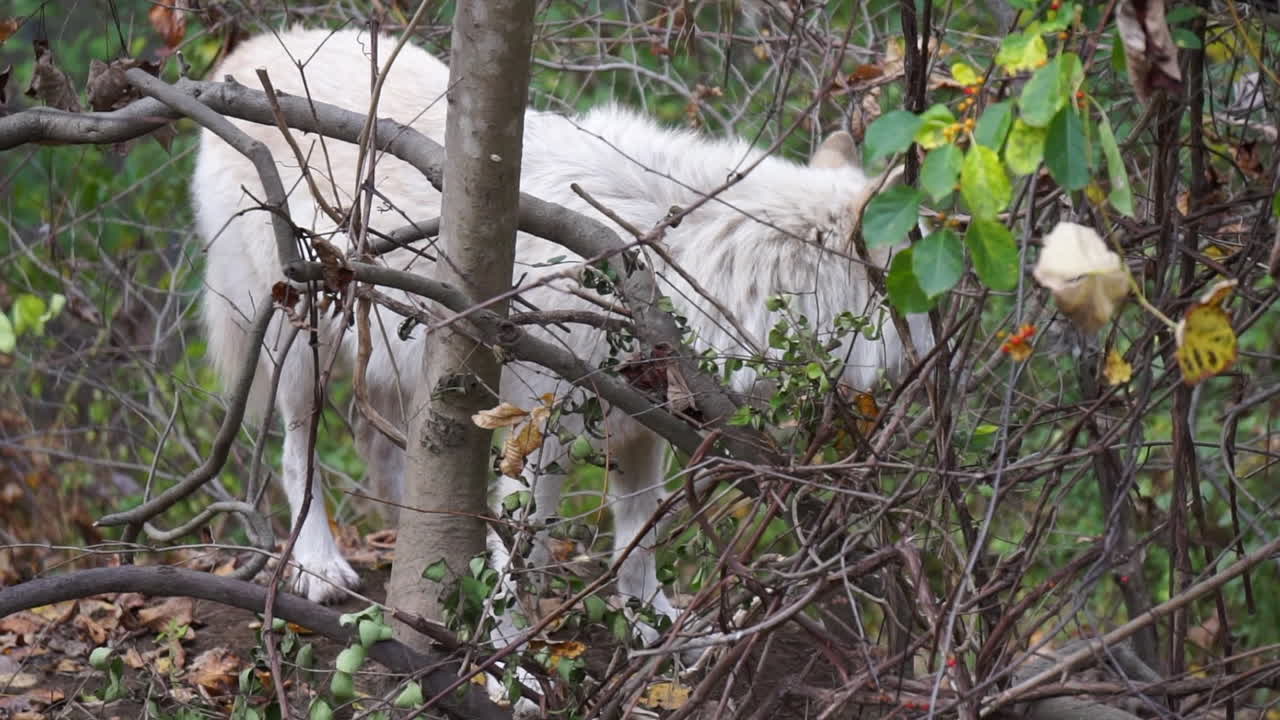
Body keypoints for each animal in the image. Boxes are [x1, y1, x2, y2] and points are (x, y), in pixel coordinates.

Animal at [193, 27, 930, 626]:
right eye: (924, 293)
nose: (928, 359)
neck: (683, 265)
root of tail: (248, 51)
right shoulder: (538, 430)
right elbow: (527, 553)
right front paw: (508, 668)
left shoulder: (641, 425)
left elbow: (639, 538)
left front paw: (653, 626)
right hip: (301, 344)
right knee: (298, 454)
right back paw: (319, 567)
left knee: (390, 457)